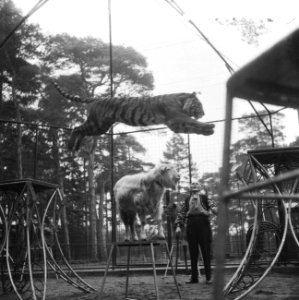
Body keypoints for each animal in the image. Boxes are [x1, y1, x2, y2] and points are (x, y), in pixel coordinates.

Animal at [52, 82, 216, 151]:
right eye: (199, 105)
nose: (203, 113)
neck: (181, 102)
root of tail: (95, 99)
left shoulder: (175, 124)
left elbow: (192, 127)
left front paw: (208, 131)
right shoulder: (176, 118)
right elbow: (192, 122)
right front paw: (209, 126)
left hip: (100, 127)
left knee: (81, 130)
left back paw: (76, 147)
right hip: (96, 123)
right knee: (76, 128)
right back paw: (70, 146)